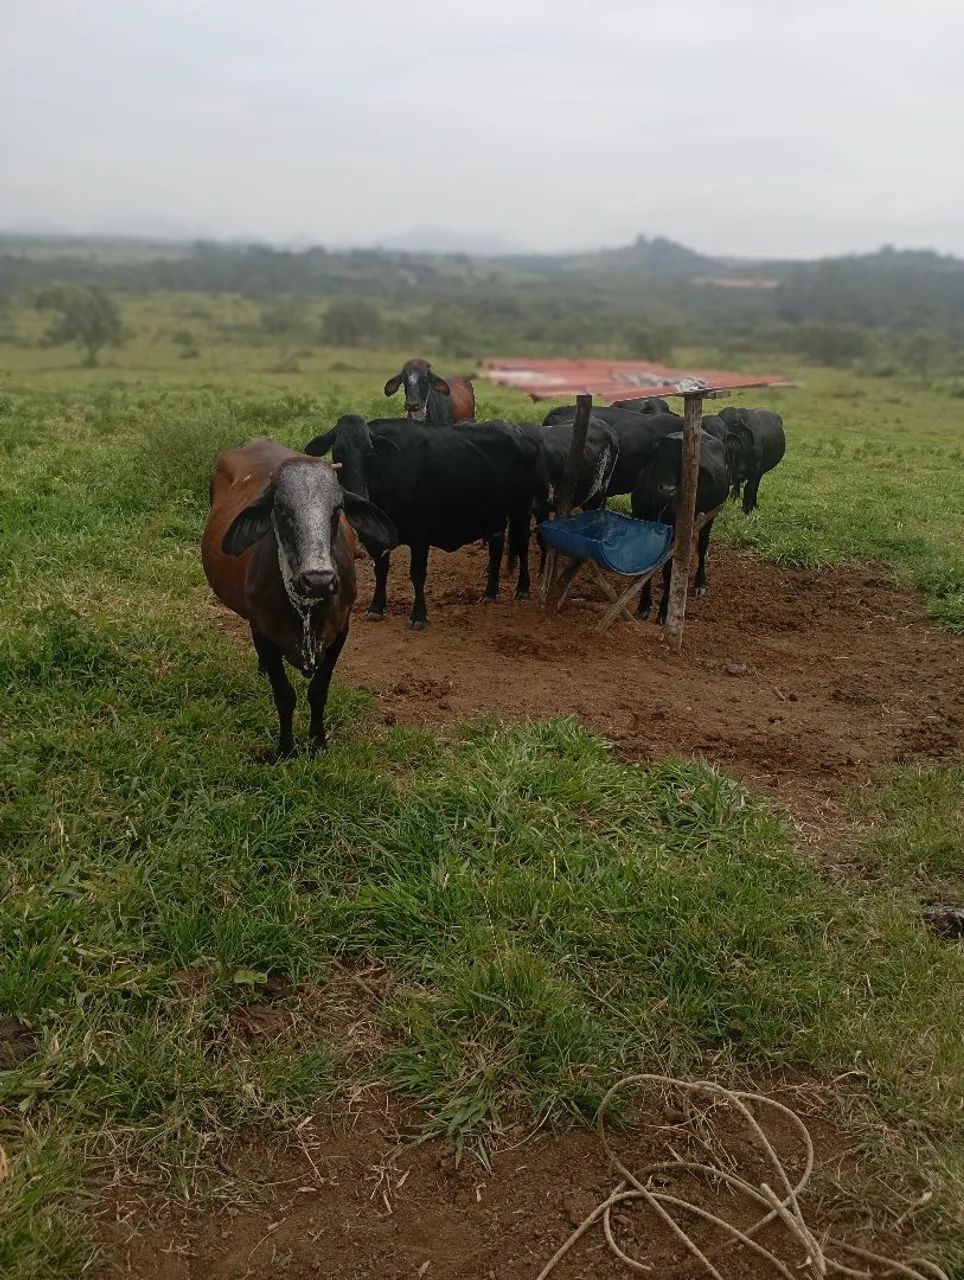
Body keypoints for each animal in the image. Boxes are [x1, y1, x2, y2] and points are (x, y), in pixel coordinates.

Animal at [201, 438, 396, 759]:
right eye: (280, 507)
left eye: (337, 508)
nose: (319, 580)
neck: (305, 611)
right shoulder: (263, 631)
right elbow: (284, 696)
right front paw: (286, 749)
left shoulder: (340, 631)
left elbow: (318, 692)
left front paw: (318, 743)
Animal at [304, 416, 547, 629]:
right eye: (337, 451)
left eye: (369, 451)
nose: (357, 492)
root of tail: (520, 432)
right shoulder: (376, 540)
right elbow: (380, 570)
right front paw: (376, 608)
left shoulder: (420, 536)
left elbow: (417, 575)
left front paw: (418, 615)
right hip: (494, 515)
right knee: (497, 547)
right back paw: (489, 593)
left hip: (521, 508)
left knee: (522, 544)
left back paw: (522, 588)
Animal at [631, 432, 731, 623]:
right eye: (657, 458)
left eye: (681, 466)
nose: (667, 490)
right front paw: (643, 606)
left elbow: (669, 571)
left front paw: (664, 611)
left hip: (710, 515)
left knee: (702, 547)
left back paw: (700, 583)